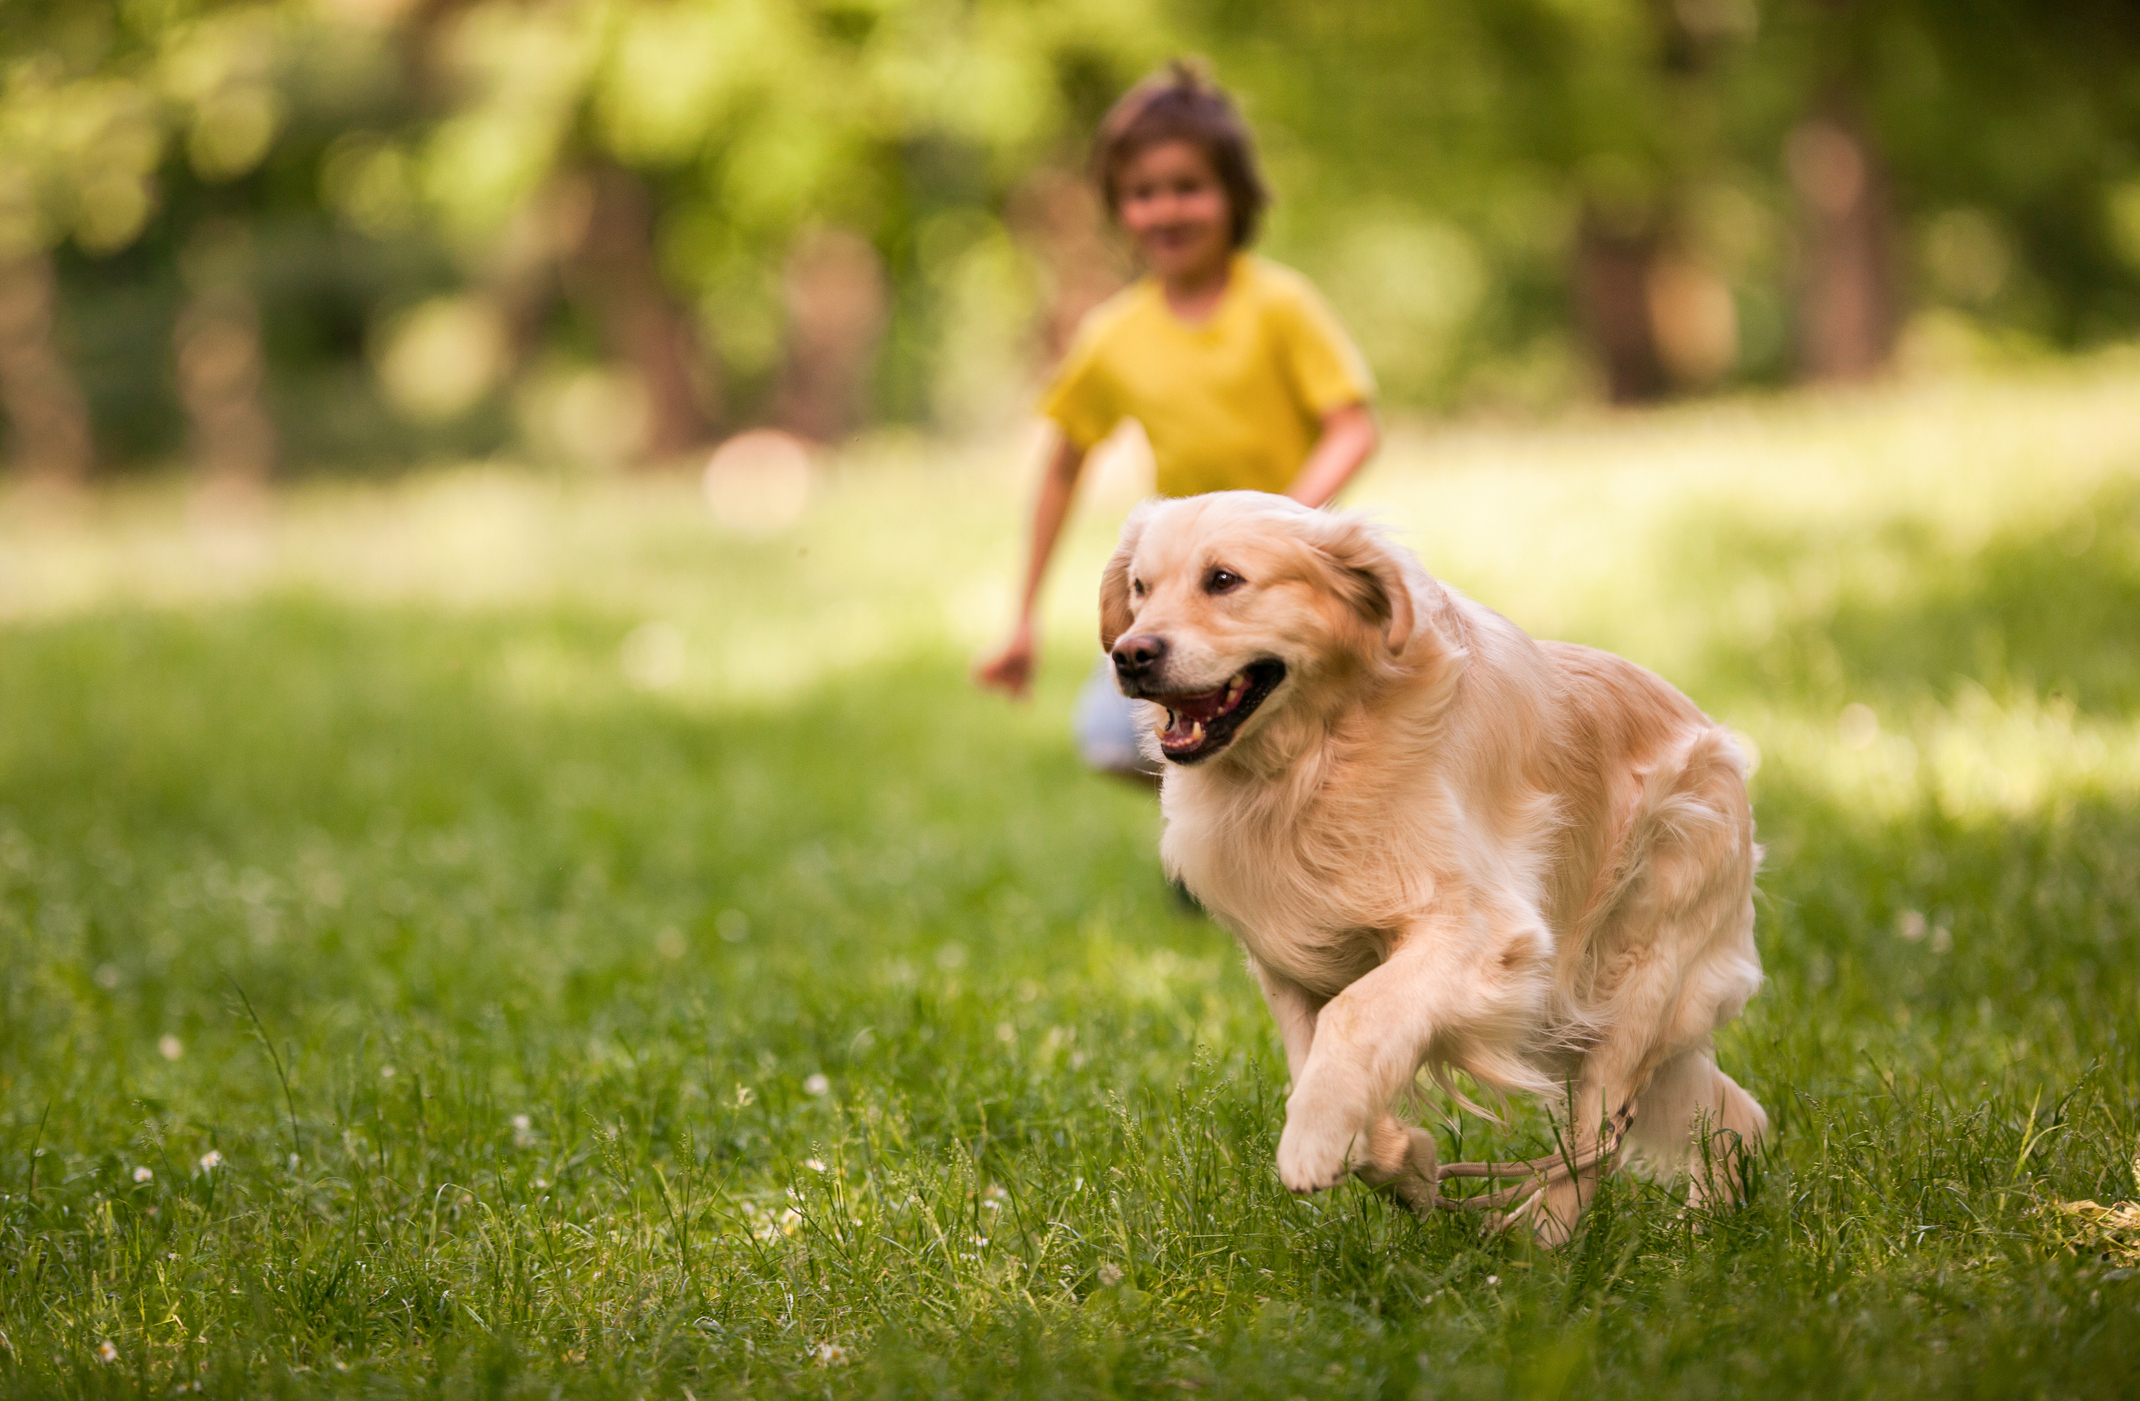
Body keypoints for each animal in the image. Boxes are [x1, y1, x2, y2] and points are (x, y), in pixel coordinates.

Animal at [1095, 496, 1763, 1249]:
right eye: (1141, 588)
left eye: (1224, 579)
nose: (1129, 654)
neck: (1317, 756)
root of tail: (1719, 740)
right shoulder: (1290, 961)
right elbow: (1319, 1060)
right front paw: (1402, 1162)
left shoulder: (1479, 932)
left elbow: (1354, 1016)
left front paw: (1313, 1141)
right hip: (1579, 1015)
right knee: (1729, 1114)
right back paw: (1705, 1219)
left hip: (1637, 975)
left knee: (1597, 1139)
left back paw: (1544, 1245)